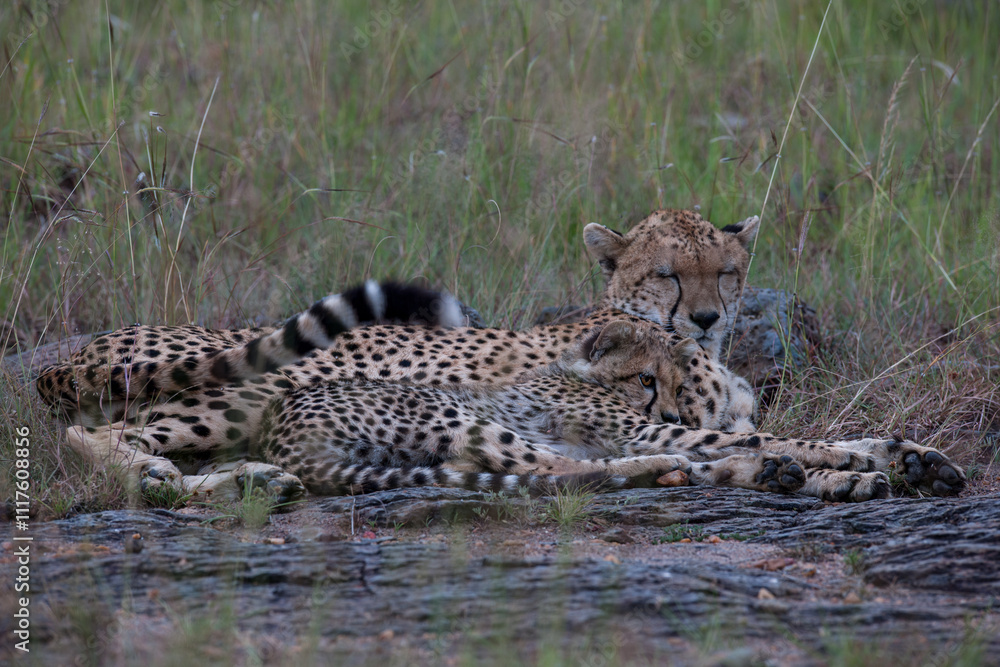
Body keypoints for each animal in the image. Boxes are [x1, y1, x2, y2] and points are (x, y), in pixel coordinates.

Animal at [36, 209, 762, 465]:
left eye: (726, 272)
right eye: (669, 274)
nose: (706, 318)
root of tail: (67, 359)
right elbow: (742, 434)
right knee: (94, 440)